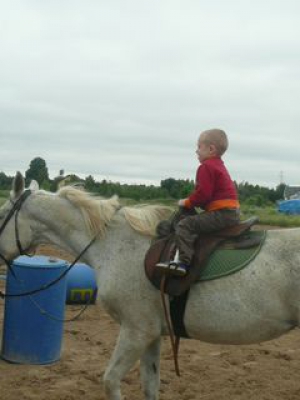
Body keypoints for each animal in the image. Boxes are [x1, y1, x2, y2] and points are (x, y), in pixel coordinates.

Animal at [0, 173, 300, 400]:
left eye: (2, 212)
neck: (114, 243)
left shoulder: (136, 331)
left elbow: (110, 381)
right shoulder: (154, 334)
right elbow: (149, 386)